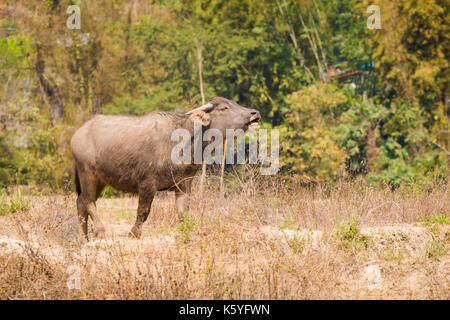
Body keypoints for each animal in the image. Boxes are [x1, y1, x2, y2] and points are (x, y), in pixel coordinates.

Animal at [70, 97, 260, 240]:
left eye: (234, 103)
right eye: (223, 107)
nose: (254, 113)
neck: (184, 140)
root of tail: (77, 134)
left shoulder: (184, 185)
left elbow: (183, 212)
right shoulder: (147, 184)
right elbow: (143, 211)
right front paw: (134, 233)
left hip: (101, 180)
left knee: (81, 202)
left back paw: (84, 238)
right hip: (88, 174)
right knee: (88, 201)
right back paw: (100, 231)